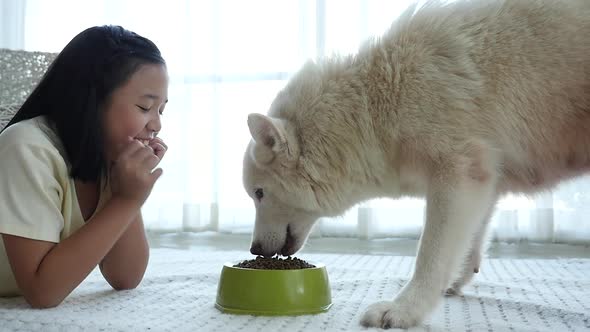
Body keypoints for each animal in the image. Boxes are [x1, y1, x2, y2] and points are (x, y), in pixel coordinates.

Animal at [242, 0, 590, 328]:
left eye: (259, 194)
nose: (254, 250)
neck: (375, 106)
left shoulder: (457, 174)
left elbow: (431, 255)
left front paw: (404, 310)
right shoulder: (484, 178)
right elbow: (469, 241)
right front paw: (455, 280)